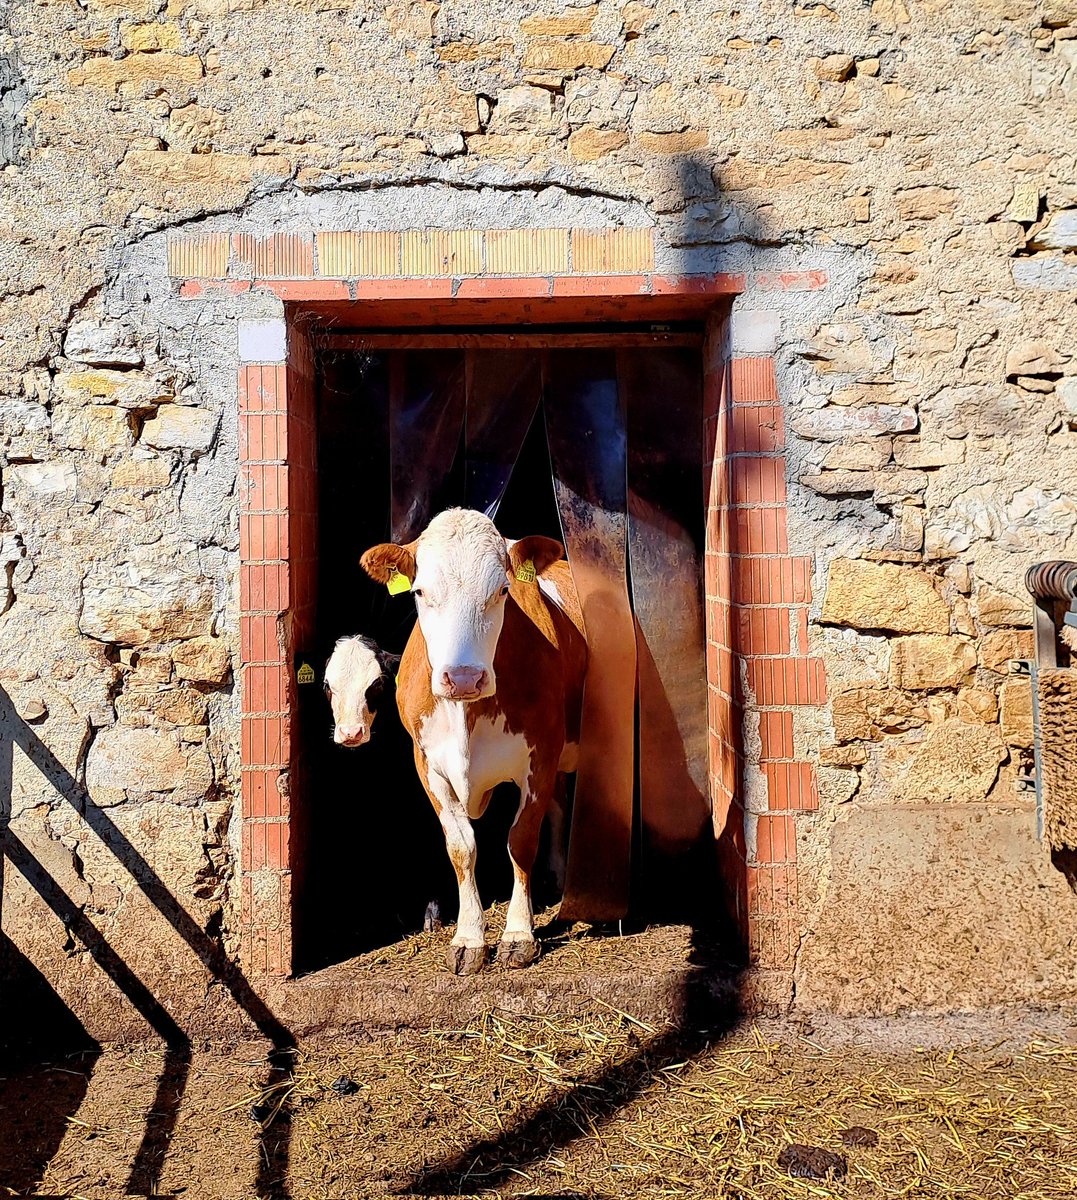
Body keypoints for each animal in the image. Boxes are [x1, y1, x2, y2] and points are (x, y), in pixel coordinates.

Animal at [360, 507, 587, 974]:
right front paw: (469, 938)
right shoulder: (427, 764)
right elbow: (461, 847)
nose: (463, 678)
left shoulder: (540, 756)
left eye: (502, 590)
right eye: (420, 591)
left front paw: (519, 933)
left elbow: (521, 841)